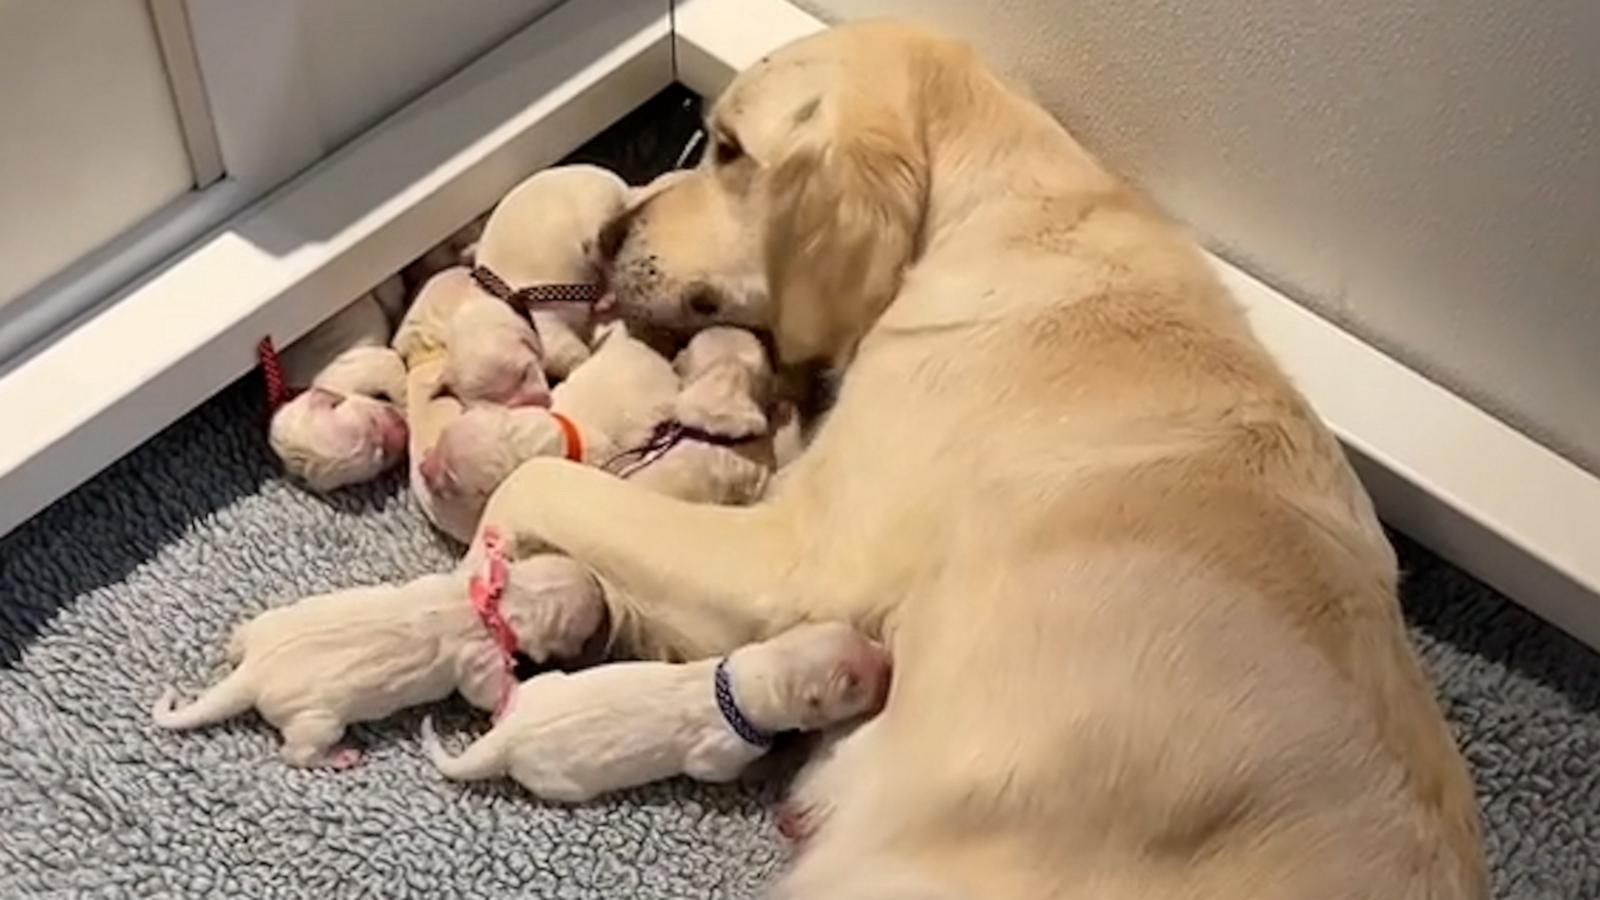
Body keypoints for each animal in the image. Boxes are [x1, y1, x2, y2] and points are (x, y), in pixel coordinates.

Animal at [152, 554, 601, 762]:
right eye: (581, 634)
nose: (598, 585)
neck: (489, 604)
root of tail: (254, 672)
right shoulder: (478, 656)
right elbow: (485, 691)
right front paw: (512, 696)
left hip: (268, 624)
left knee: (244, 636)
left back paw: (234, 645)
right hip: (314, 718)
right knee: (298, 751)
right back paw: (337, 757)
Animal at [419, 621, 896, 800]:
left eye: (857, 633)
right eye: (854, 684)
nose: (888, 657)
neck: (740, 683)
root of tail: (508, 736)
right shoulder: (718, 752)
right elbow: (718, 771)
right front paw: (779, 762)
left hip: (544, 686)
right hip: (557, 781)